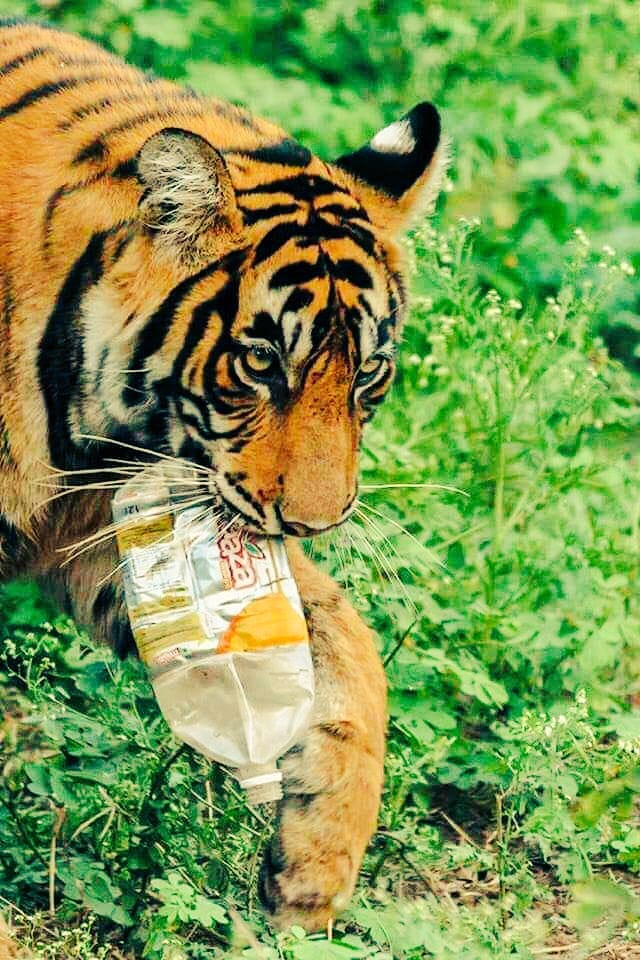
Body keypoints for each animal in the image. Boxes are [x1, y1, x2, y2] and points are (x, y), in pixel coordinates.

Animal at [0, 17, 447, 933]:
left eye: (368, 372)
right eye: (262, 361)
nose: (317, 521)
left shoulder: (92, 523)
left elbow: (343, 641)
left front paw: (316, 865)